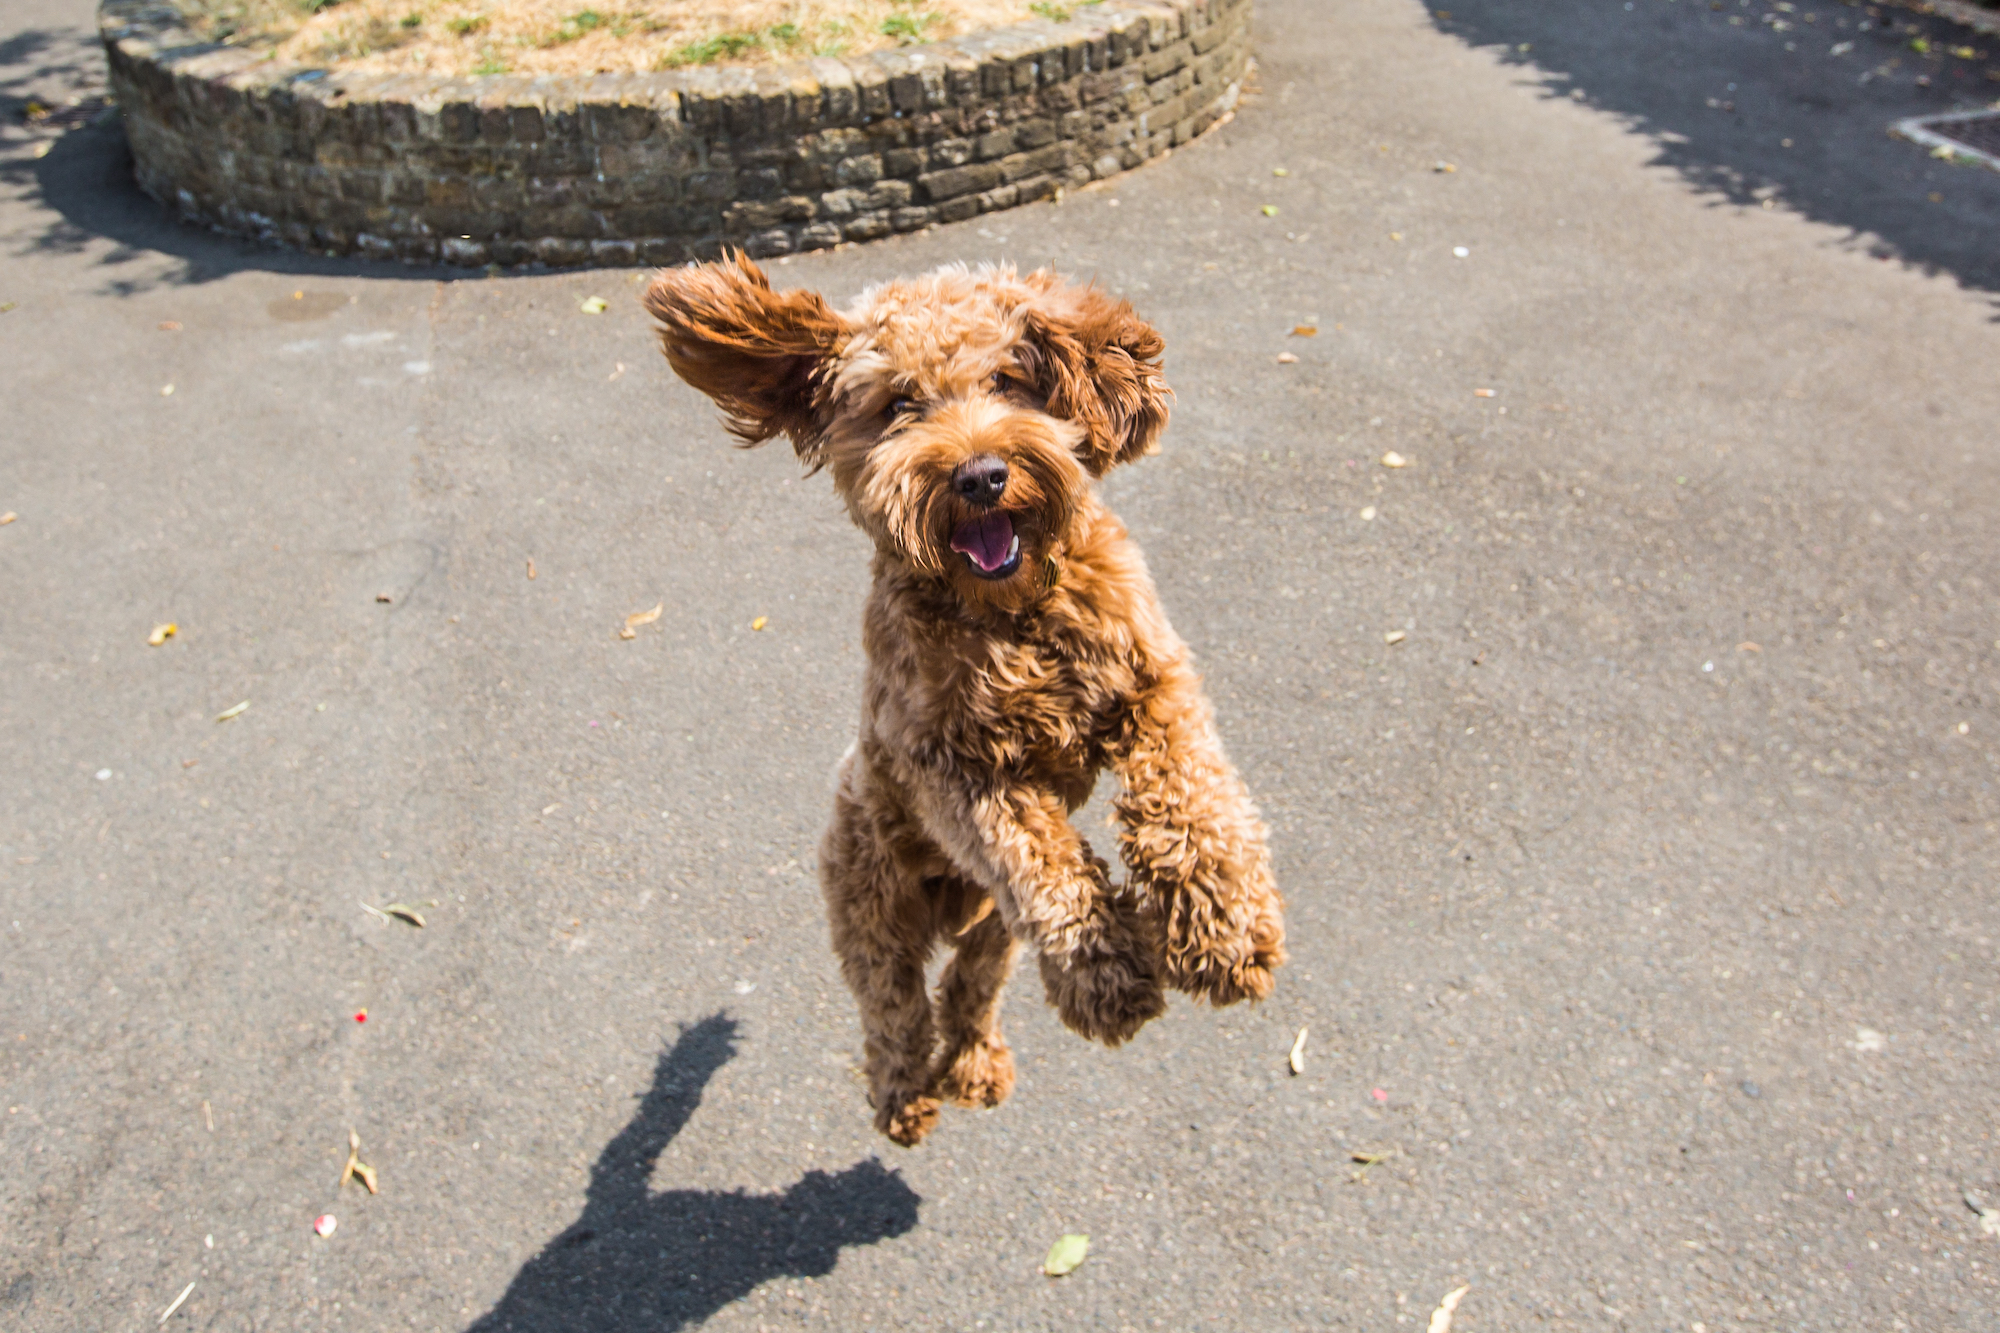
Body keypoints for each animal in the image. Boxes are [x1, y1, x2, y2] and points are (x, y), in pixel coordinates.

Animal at [648, 256, 1288, 1144]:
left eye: (1009, 379)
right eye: (897, 406)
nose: (981, 476)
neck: (1009, 611)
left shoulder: (1151, 682)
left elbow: (1192, 798)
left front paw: (1227, 932)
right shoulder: (949, 768)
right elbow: (1041, 863)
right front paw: (1108, 977)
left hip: (989, 928)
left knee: (968, 987)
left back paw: (977, 1065)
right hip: (872, 900)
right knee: (892, 1004)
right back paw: (904, 1094)